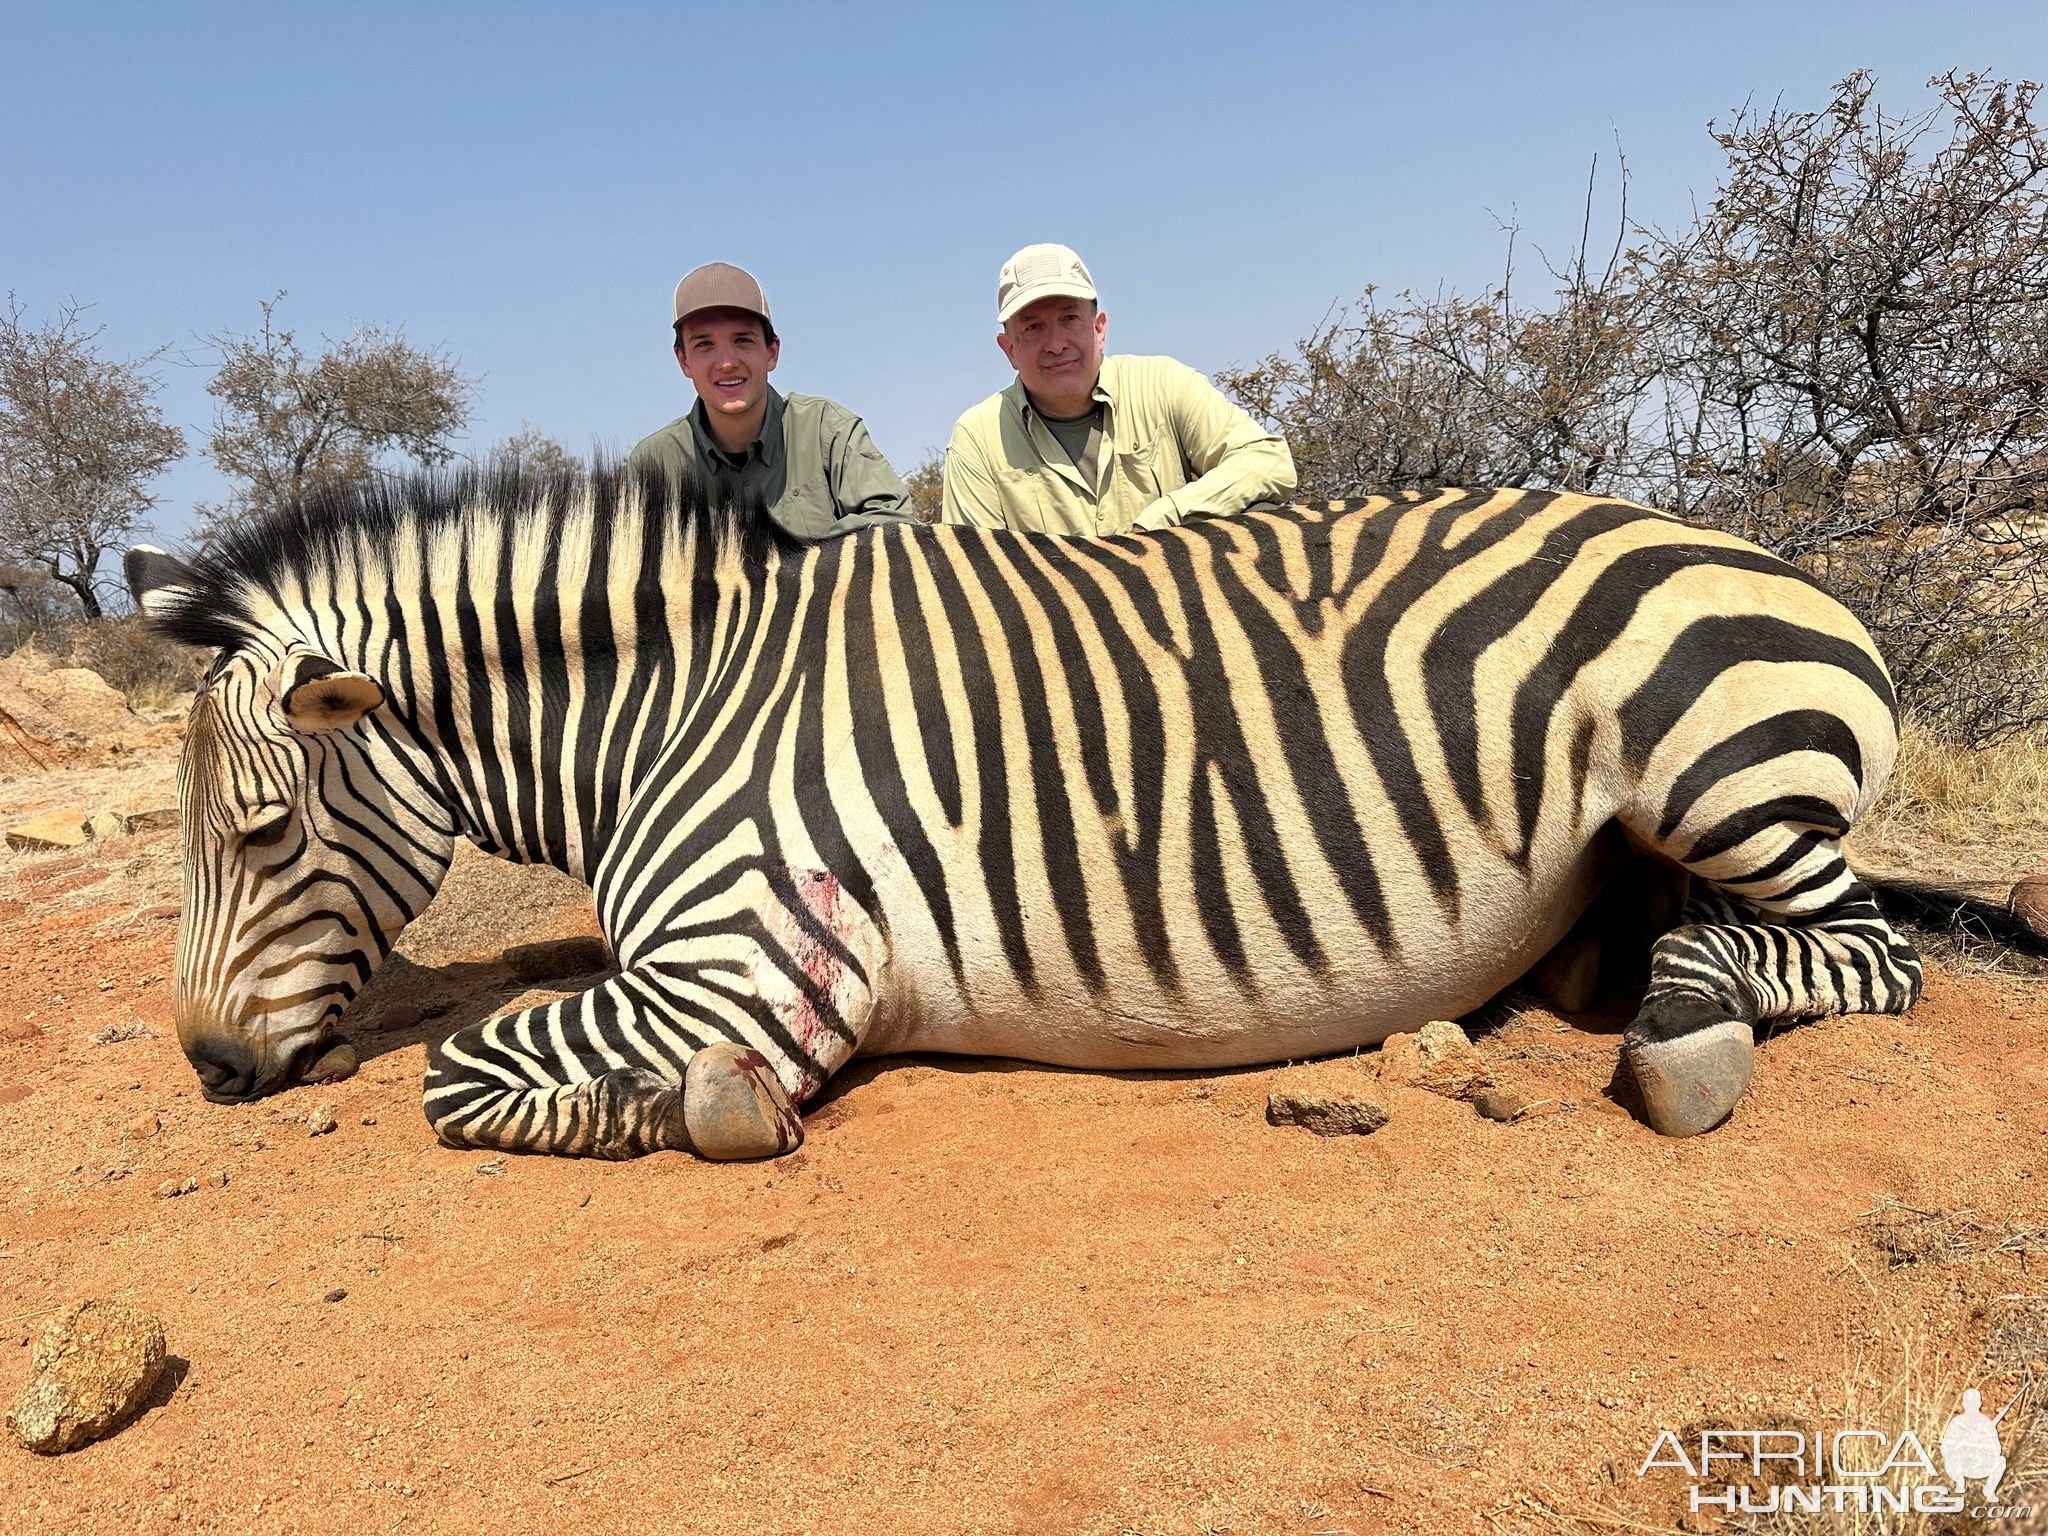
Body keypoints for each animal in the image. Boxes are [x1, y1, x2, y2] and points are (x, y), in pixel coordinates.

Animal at [123, 473, 2015, 1163]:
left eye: (262, 838)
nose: (208, 1069)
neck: (676, 707)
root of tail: (1760, 554)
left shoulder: (746, 958)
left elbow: (463, 1076)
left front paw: (713, 1109)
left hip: (1715, 774)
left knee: (1866, 952)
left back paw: (1686, 1028)